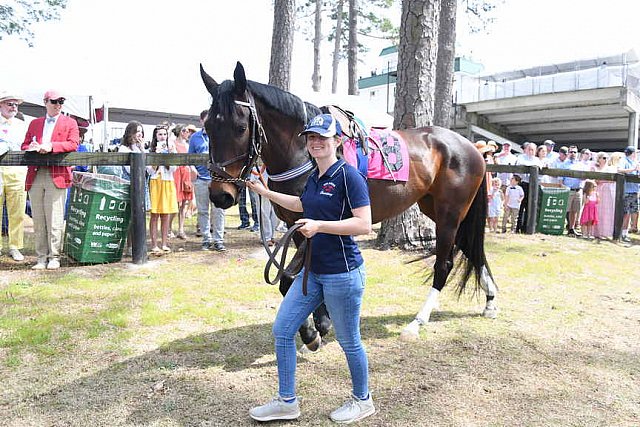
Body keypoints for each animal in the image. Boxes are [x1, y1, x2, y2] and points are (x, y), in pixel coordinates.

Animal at [200, 62, 500, 348]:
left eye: (240, 128)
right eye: (208, 128)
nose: (220, 194)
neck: (306, 153)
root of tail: (471, 147)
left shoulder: (316, 223)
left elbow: (288, 279)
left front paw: (311, 332)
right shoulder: (297, 226)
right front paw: (321, 322)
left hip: (450, 213)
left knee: (444, 264)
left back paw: (417, 323)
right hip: (437, 209)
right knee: (472, 250)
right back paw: (490, 301)